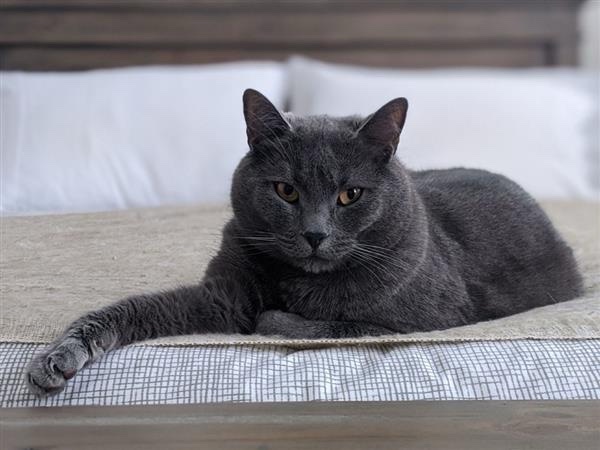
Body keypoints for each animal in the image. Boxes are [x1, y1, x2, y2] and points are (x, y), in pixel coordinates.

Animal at [27, 89, 580, 396]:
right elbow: (131, 308)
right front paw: (56, 358)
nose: (315, 234)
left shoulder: (422, 320)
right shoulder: (221, 297)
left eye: (350, 194)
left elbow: (317, 323)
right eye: (286, 191)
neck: (297, 280)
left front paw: (272, 318)